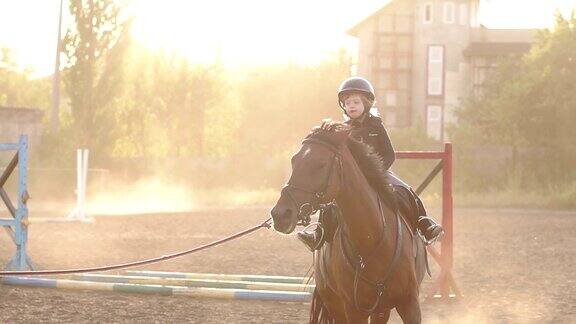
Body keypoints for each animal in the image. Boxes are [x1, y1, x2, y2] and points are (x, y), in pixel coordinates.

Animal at [272, 122, 428, 324]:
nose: (280, 214)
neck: (372, 240)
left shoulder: (410, 304)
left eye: (321, 164)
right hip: (337, 305)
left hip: (381, 309)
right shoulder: (354, 310)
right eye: (294, 160)